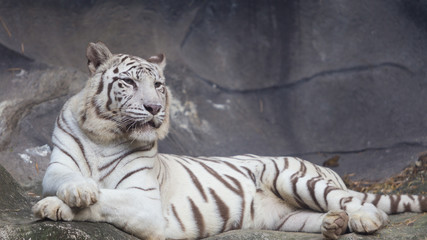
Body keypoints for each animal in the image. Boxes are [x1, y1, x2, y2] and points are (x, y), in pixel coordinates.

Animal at [33, 42, 427, 239]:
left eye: (158, 85)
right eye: (128, 83)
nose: (155, 107)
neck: (106, 134)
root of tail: (331, 170)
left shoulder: (145, 202)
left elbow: (108, 199)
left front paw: (57, 205)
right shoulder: (56, 166)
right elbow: (68, 180)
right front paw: (71, 194)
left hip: (291, 177)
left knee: (358, 203)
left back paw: (363, 220)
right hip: (286, 219)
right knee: (317, 217)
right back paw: (334, 224)